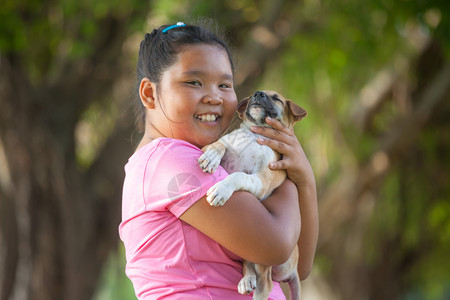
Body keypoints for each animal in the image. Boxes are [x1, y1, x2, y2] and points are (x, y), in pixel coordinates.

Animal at [199, 90, 308, 298]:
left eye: (277, 98)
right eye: (251, 96)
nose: (259, 93)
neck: (253, 134)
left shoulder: (262, 180)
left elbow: (238, 175)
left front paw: (221, 190)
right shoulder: (222, 143)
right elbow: (220, 145)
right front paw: (211, 157)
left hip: (265, 256)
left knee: (265, 283)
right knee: (249, 266)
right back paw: (247, 279)